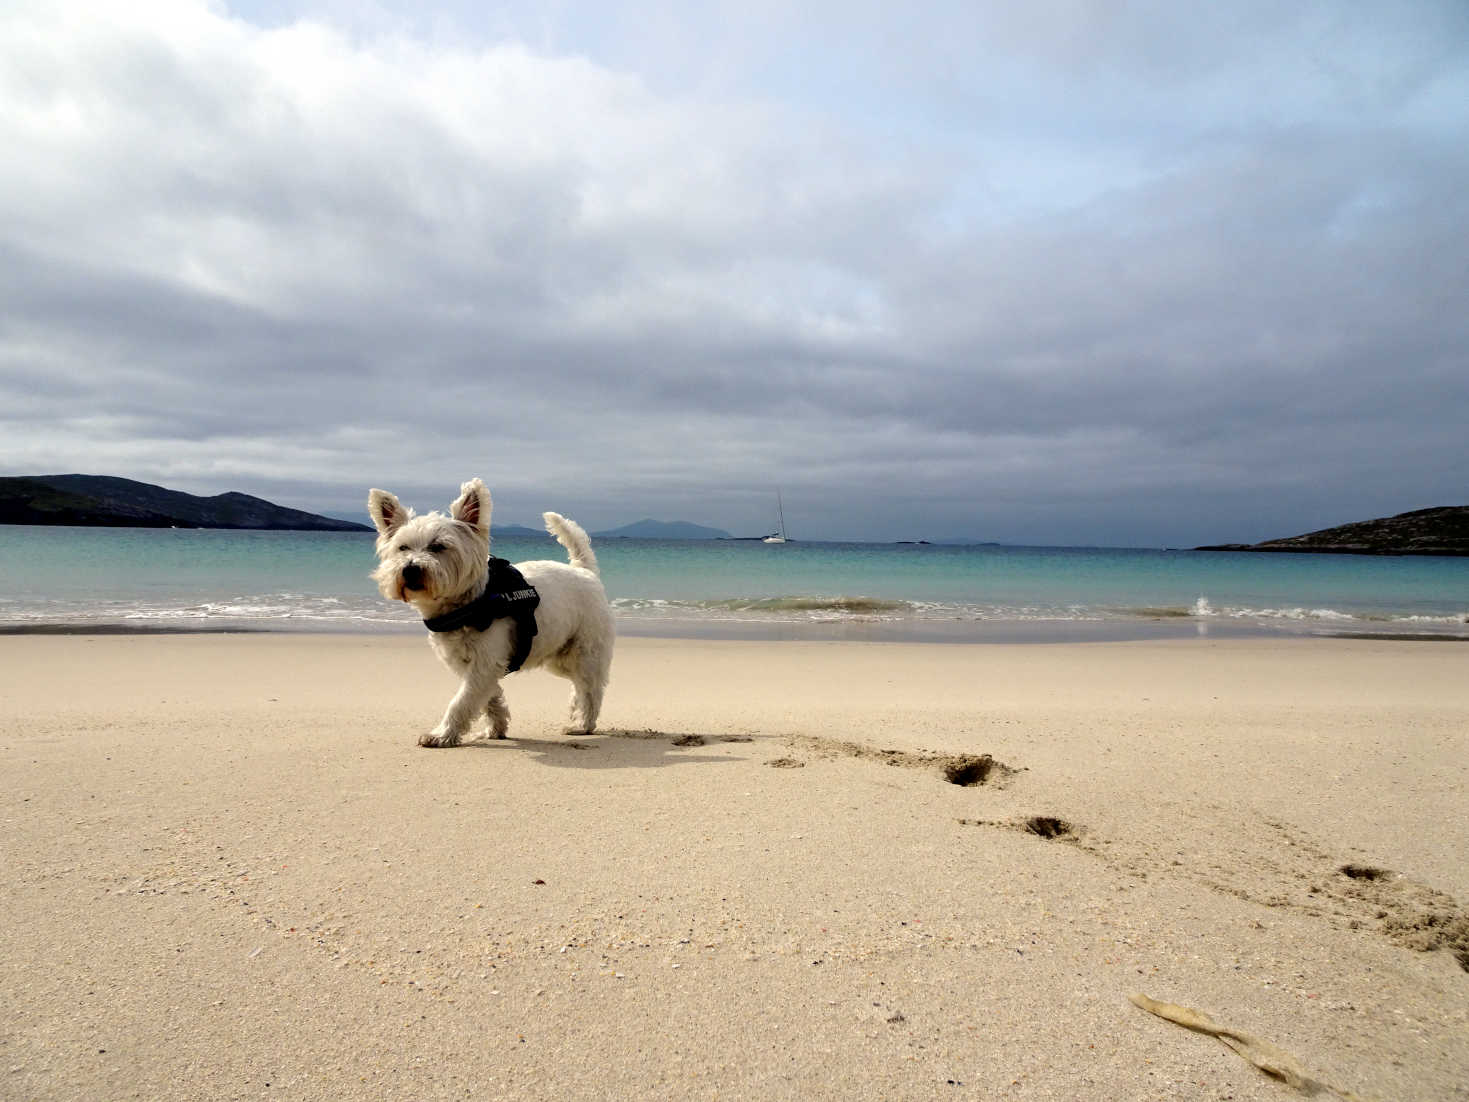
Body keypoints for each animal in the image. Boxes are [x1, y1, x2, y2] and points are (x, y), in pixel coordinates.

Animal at [373, 479, 619, 746]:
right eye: (403, 547)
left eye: (438, 546)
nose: (409, 570)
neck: (467, 603)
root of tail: (585, 570)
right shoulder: (468, 665)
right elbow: (488, 697)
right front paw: (496, 727)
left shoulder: (485, 662)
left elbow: (461, 700)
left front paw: (442, 734)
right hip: (559, 657)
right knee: (578, 685)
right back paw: (576, 717)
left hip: (586, 652)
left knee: (590, 688)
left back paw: (583, 724)